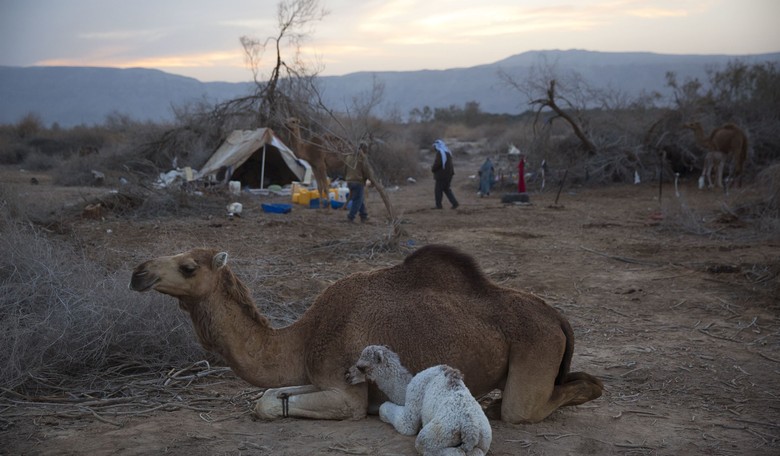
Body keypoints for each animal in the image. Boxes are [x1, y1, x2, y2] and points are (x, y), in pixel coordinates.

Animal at [129, 244, 603, 424]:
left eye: (188, 266)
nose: (138, 272)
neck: (303, 338)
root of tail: (558, 317)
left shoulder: (346, 393)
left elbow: (280, 406)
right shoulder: (316, 375)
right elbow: (268, 397)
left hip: (535, 348)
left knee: (541, 402)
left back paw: (501, 404)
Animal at [347, 345, 492, 455]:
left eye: (361, 367)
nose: (347, 375)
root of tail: (470, 430)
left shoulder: (415, 394)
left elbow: (405, 424)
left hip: (442, 431)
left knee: (425, 444)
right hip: (484, 438)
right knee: (477, 452)